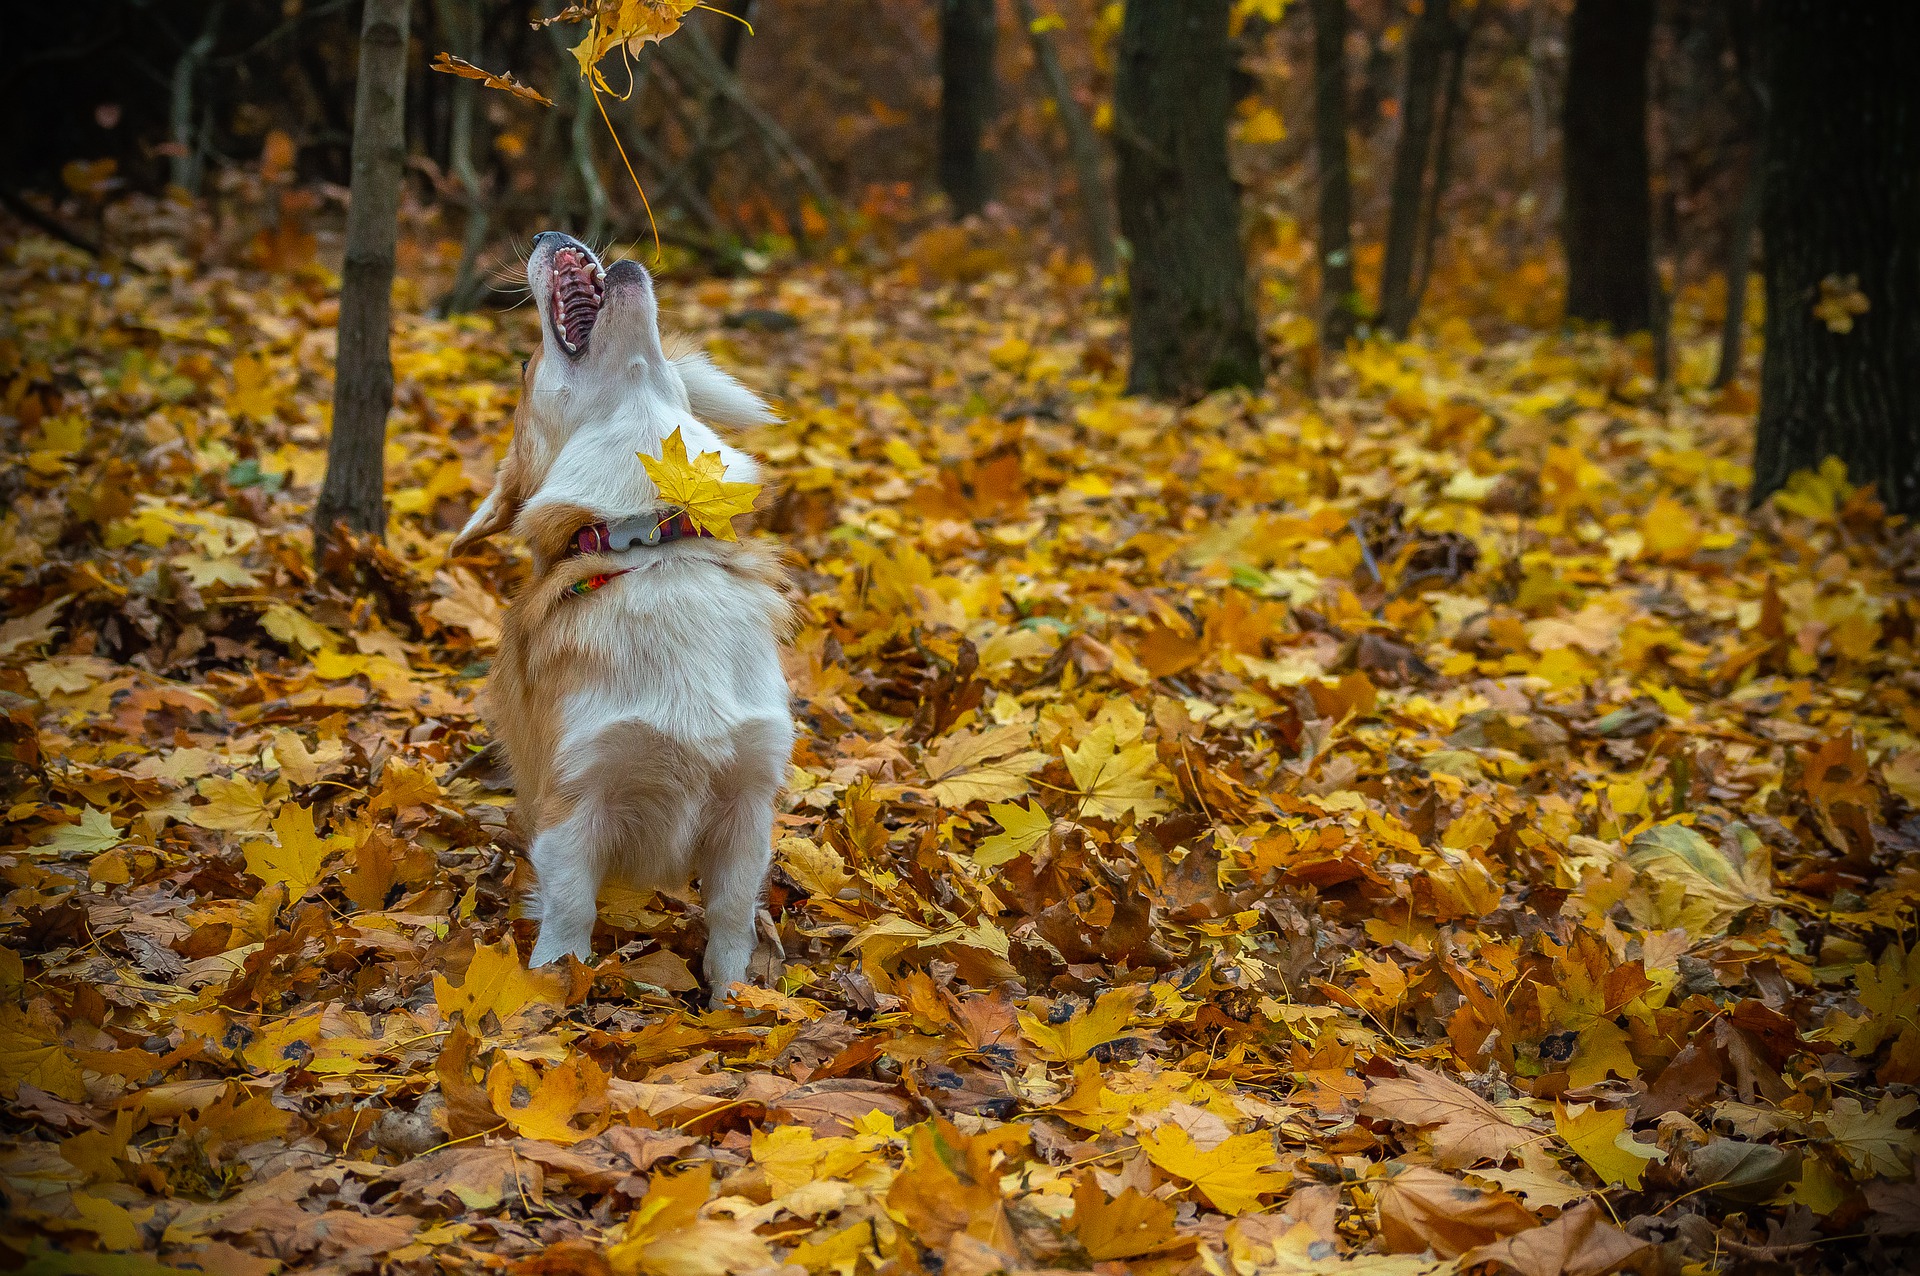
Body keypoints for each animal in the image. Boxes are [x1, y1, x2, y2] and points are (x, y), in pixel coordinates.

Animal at [453, 234, 791, 997]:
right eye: (525, 365)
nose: (548, 235)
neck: (649, 539)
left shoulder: (748, 804)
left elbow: (731, 919)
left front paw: (736, 1004)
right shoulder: (574, 804)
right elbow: (571, 912)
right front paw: (555, 994)